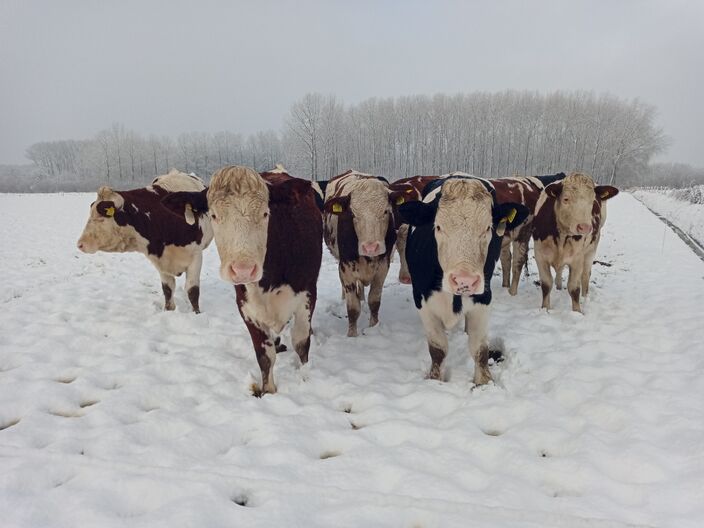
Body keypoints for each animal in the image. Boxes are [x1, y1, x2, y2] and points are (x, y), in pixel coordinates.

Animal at [77, 167, 213, 312]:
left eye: (101, 218)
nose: (80, 244)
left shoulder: (196, 256)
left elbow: (193, 290)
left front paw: (196, 313)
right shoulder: (161, 260)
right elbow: (168, 289)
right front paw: (168, 310)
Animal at [160, 166, 322, 396]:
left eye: (265, 213)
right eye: (214, 215)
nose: (243, 269)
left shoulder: (307, 295)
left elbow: (301, 343)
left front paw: (304, 378)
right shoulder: (246, 305)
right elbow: (264, 356)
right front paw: (268, 391)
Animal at [324, 169, 396, 336]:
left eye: (386, 211)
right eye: (353, 214)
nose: (371, 247)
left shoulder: (383, 267)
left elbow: (374, 301)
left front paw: (374, 327)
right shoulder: (346, 269)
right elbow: (352, 308)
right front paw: (352, 335)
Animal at [398, 175, 524, 386]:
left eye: (488, 228)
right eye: (438, 226)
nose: (464, 280)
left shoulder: (483, 298)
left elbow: (480, 349)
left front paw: (484, 382)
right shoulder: (422, 300)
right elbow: (438, 349)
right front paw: (435, 380)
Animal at [532, 173, 620, 314]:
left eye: (592, 201)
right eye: (566, 199)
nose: (585, 227)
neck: (562, 236)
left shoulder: (577, 258)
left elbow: (574, 288)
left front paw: (577, 312)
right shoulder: (540, 255)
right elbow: (546, 284)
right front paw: (545, 309)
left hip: (591, 249)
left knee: (585, 275)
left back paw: (585, 297)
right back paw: (559, 286)